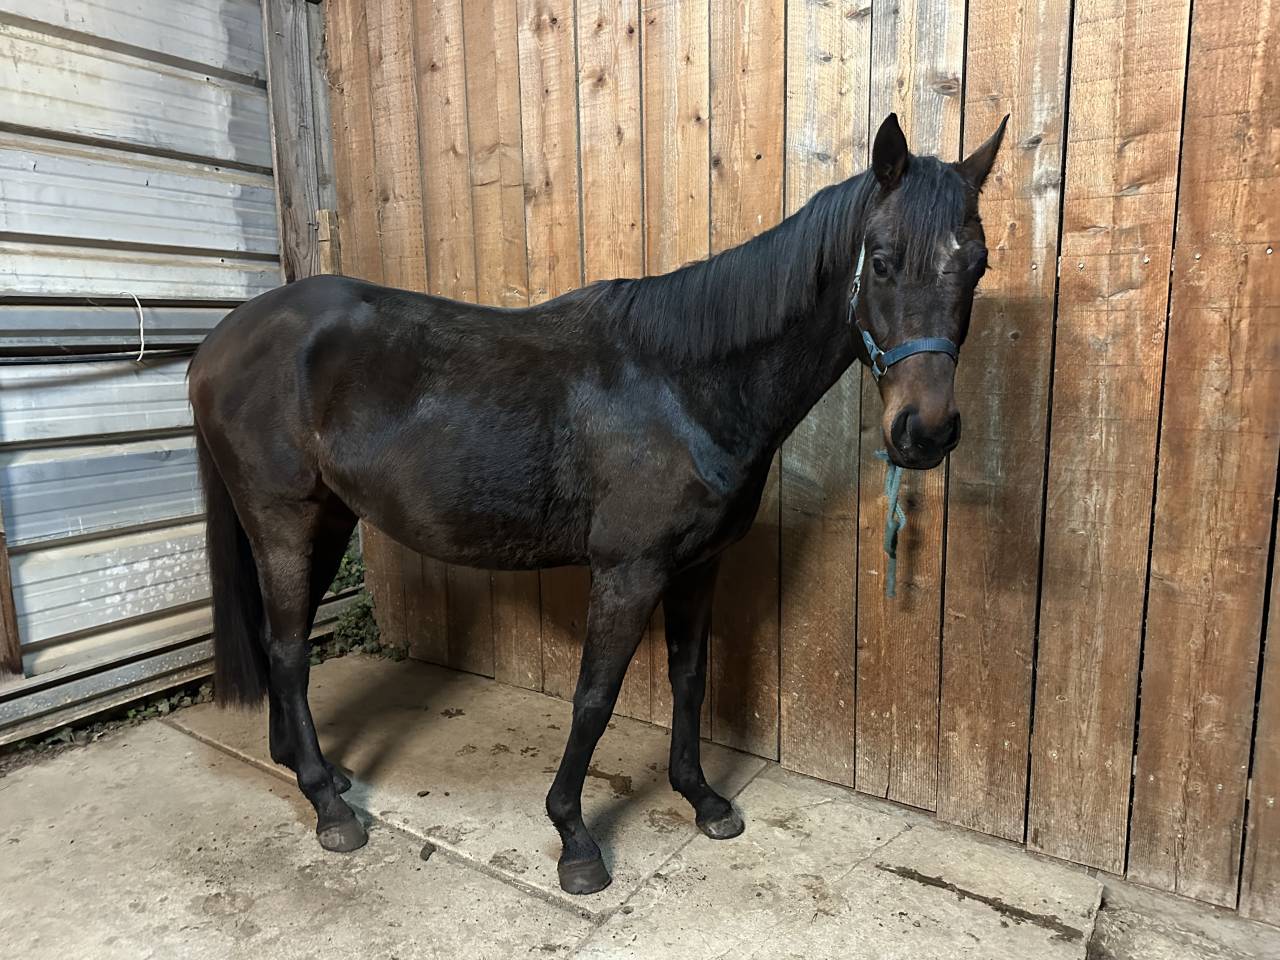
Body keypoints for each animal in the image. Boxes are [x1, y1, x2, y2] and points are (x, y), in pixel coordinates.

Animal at [188, 113, 1007, 895]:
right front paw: (574, 837)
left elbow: (689, 677)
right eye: (883, 257)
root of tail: (219, 343)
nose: (925, 432)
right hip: (284, 522)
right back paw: (329, 807)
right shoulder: (627, 572)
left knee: (285, 641)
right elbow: (594, 697)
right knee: (288, 651)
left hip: (328, 520)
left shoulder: (696, 567)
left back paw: (310, 768)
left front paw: (701, 798)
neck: (683, 386)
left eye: (977, 264)